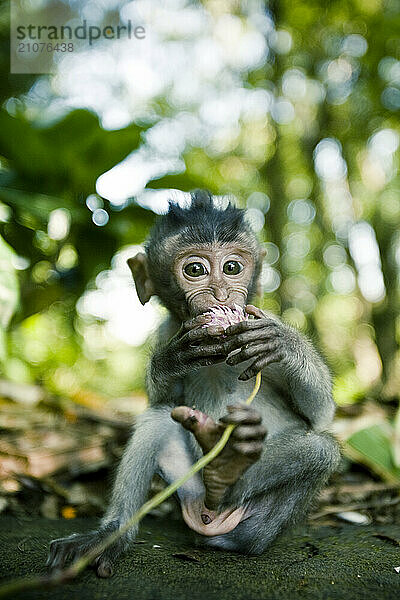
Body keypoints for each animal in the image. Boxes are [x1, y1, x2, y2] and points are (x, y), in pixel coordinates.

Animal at [47, 191, 340, 576]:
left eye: (232, 268)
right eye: (195, 270)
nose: (221, 295)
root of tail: (209, 517)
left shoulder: (257, 319)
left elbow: (320, 413)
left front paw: (283, 343)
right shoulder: (168, 330)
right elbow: (160, 396)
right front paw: (171, 361)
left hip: (253, 521)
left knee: (319, 450)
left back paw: (229, 477)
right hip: (186, 483)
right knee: (157, 418)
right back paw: (110, 534)